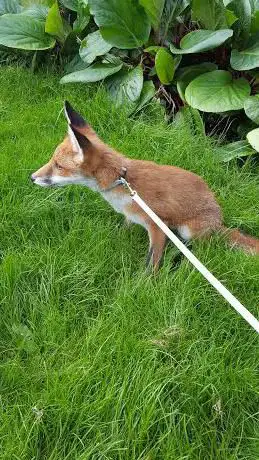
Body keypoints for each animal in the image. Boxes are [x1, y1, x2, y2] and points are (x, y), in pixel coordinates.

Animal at [32, 100, 259, 266]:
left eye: (58, 166)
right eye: (53, 161)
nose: (32, 177)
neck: (122, 183)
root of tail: (218, 221)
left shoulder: (158, 226)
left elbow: (151, 266)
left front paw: (143, 287)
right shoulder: (131, 217)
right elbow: (124, 228)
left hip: (190, 232)